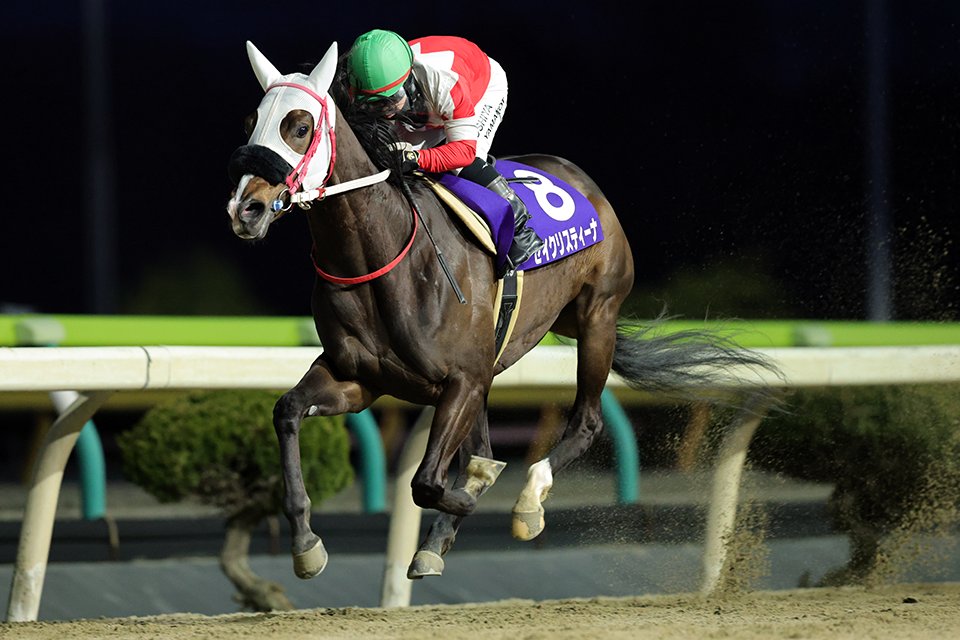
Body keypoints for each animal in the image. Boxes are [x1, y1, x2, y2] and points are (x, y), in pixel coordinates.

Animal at [225, 41, 776, 581]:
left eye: (299, 126)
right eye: (250, 120)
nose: (244, 210)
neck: (383, 256)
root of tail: (581, 179)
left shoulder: (462, 380)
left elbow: (428, 482)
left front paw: (478, 502)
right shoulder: (361, 379)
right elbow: (287, 411)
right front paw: (306, 543)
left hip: (597, 317)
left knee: (586, 421)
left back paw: (528, 502)